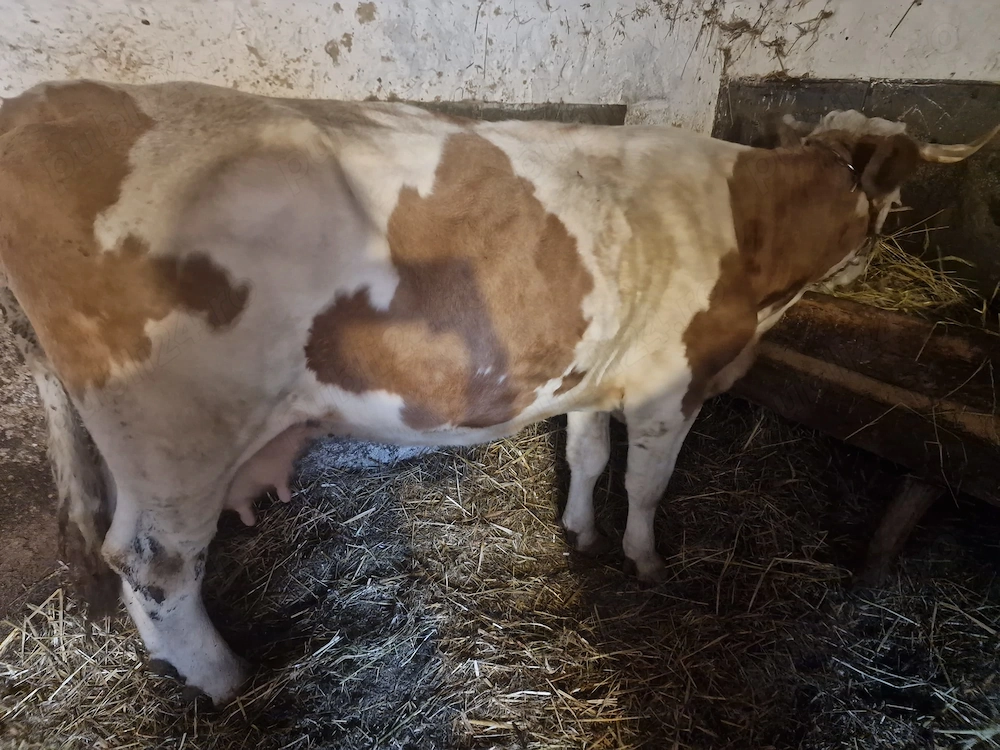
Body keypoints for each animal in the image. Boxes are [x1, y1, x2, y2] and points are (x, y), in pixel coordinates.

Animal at [0, 79, 995, 704]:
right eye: (899, 187)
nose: (872, 253)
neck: (746, 229)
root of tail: (43, 105)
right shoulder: (672, 383)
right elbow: (648, 484)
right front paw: (645, 562)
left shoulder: (601, 365)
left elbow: (589, 454)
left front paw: (580, 532)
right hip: (175, 434)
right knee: (155, 565)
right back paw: (223, 680)